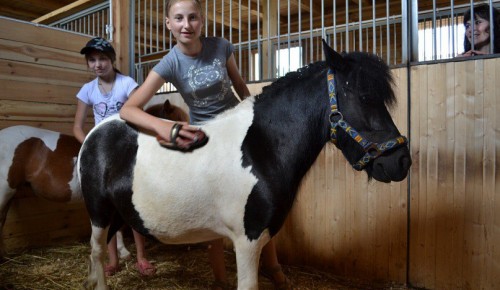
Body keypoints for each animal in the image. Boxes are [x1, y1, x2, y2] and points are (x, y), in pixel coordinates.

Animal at [80, 39, 412, 288]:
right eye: (364, 97)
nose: (401, 162)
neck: (260, 149)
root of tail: (97, 132)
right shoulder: (246, 241)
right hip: (98, 213)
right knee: (96, 251)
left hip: (118, 212)